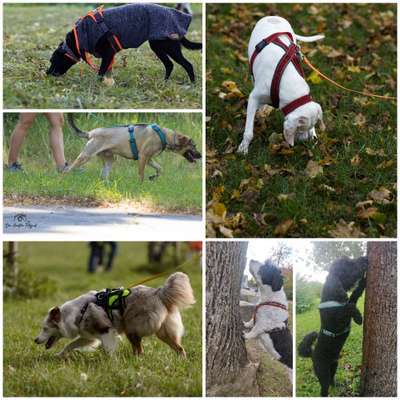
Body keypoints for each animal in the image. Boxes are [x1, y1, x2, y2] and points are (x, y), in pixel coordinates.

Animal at [34, 274, 195, 358]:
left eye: (45, 328)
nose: (35, 340)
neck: (77, 312)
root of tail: (159, 292)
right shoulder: (88, 336)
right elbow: (70, 345)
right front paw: (59, 355)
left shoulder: (105, 330)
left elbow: (108, 349)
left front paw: (111, 362)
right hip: (164, 332)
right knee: (179, 348)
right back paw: (181, 360)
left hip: (131, 327)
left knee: (140, 349)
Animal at [67, 112, 203, 181]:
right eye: (194, 146)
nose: (201, 155)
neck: (165, 136)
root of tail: (91, 133)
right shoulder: (143, 157)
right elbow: (141, 174)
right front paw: (141, 184)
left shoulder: (149, 159)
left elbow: (160, 168)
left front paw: (153, 177)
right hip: (86, 155)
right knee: (68, 169)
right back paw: (64, 178)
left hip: (109, 159)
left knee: (103, 175)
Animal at [238, 16, 324, 153]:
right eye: (300, 128)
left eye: (312, 126)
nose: (305, 141)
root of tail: (272, 17)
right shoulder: (253, 98)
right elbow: (248, 131)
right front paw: (243, 147)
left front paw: (313, 134)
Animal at [298, 256, 368, 396]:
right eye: (349, 265)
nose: (365, 258)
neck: (332, 297)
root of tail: (312, 354)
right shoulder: (338, 318)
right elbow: (349, 307)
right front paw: (358, 317)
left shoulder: (349, 299)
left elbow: (355, 294)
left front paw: (363, 282)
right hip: (322, 372)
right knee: (324, 388)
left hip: (334, 365)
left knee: (332, 380)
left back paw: (337, 387)